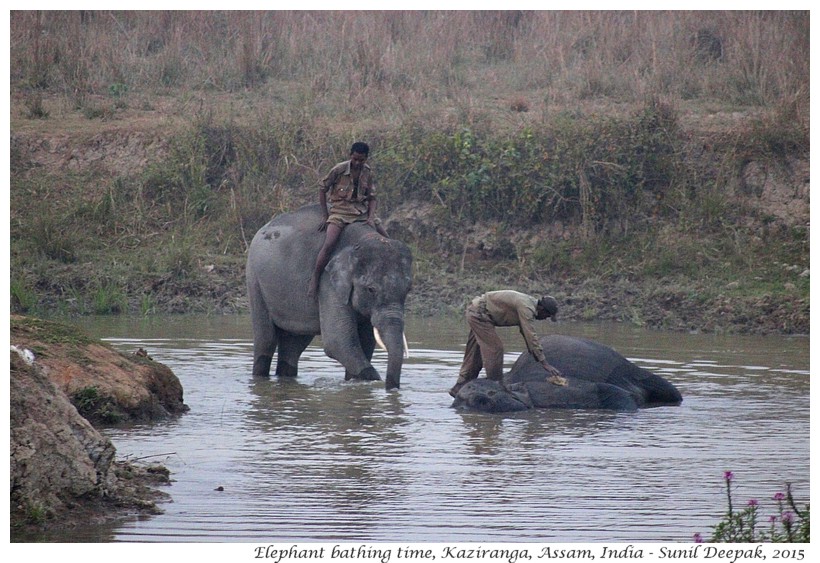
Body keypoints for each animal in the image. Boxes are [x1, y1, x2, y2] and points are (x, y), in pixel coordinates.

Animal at [242, 205, 410, 390]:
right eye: (371, 289)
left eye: (408, 290)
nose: (392, 389)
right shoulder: (328, 282)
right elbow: (337, 342)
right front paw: (371, 381)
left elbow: (366, 341)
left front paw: (353, 381)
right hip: (255, 280)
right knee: (266, 339)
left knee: (294, 344)